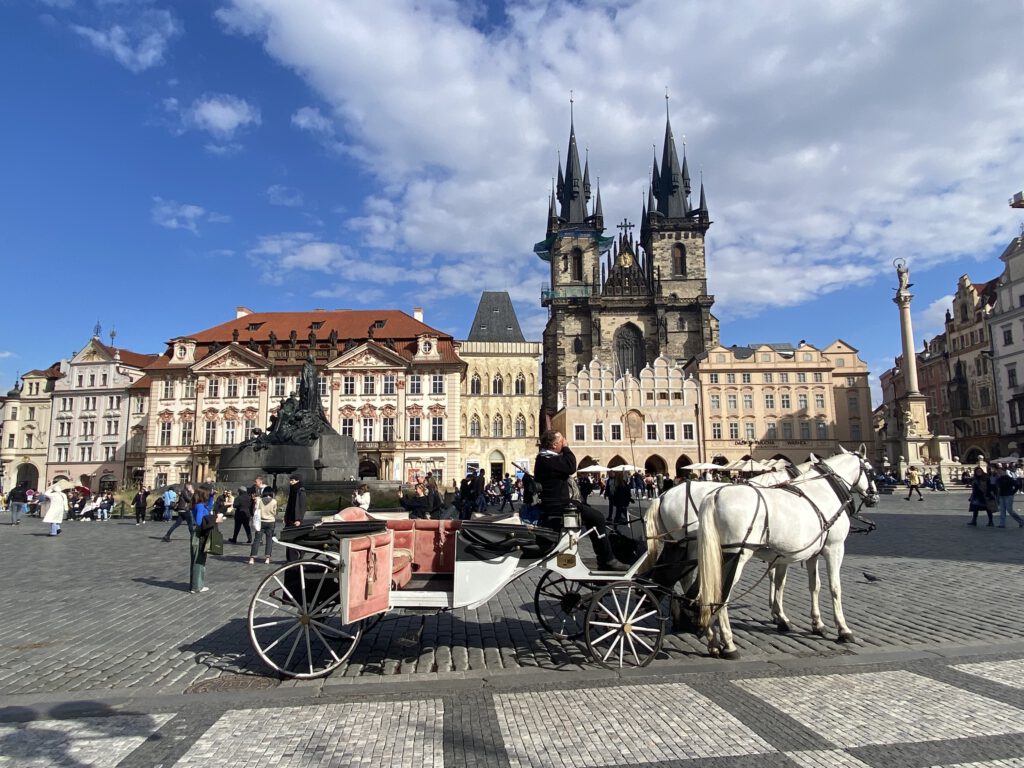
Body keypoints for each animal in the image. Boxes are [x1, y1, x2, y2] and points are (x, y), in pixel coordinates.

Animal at [692, 450, 876, 663]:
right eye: (871, 471)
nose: (875, 497)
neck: (823, 491)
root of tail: (714, 496)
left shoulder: (810, 553)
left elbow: (813, 586)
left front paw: (817, 624)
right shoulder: (834, 548)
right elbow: (835, 588)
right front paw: (843, 630)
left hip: (714, 558)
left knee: (705, 592)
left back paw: (712, 642)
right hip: (736, 557)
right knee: (721, 596)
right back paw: (729, 645)